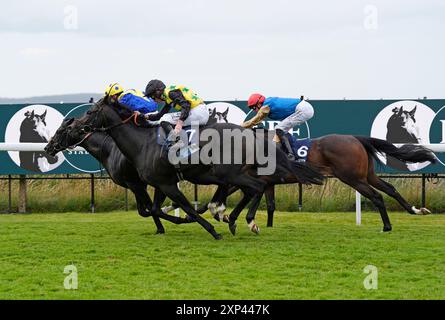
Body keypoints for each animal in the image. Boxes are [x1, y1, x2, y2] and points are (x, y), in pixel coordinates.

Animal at [45, 119, 191, 234]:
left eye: (59, 131)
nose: (47, 148)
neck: (109, 149)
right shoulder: (136, 184)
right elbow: (144, 211)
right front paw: (170, 214)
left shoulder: (135, 183)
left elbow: (150, 209)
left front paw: (163, 226)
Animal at [65, 101, 322, 239]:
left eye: (90, 112)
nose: (76, 126)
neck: (142, 142)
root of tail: (250, 134)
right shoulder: (160, 183)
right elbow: (159, 208)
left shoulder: (165, 184)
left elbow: (187, 207)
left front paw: (211, 230)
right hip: (235, 174)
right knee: (253, 189)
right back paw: (234, 219)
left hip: (231, 173)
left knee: (257, 187)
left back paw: (245, 221)